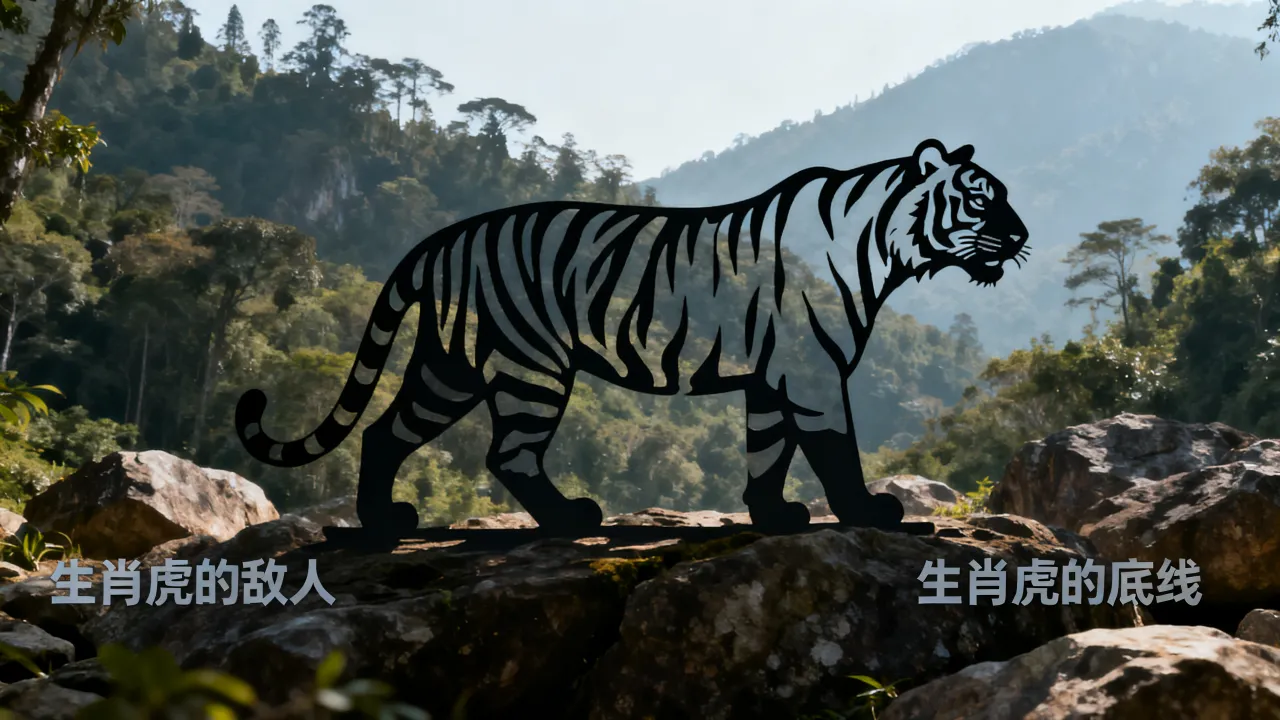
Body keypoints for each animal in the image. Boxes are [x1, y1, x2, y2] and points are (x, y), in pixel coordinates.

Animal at [235, 138, 1029, 537]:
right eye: (980, 197)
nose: (1022, 237)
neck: (882, 247)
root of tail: (438, 243)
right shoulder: (813, 376)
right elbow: (835, 452)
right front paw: (869, 513)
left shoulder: (773, 380)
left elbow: (766, 452)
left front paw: (775, 515)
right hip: (532, 365)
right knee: (508, 452)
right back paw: (567, 519)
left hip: (446, 368)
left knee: (385, 432)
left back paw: (383, 521)